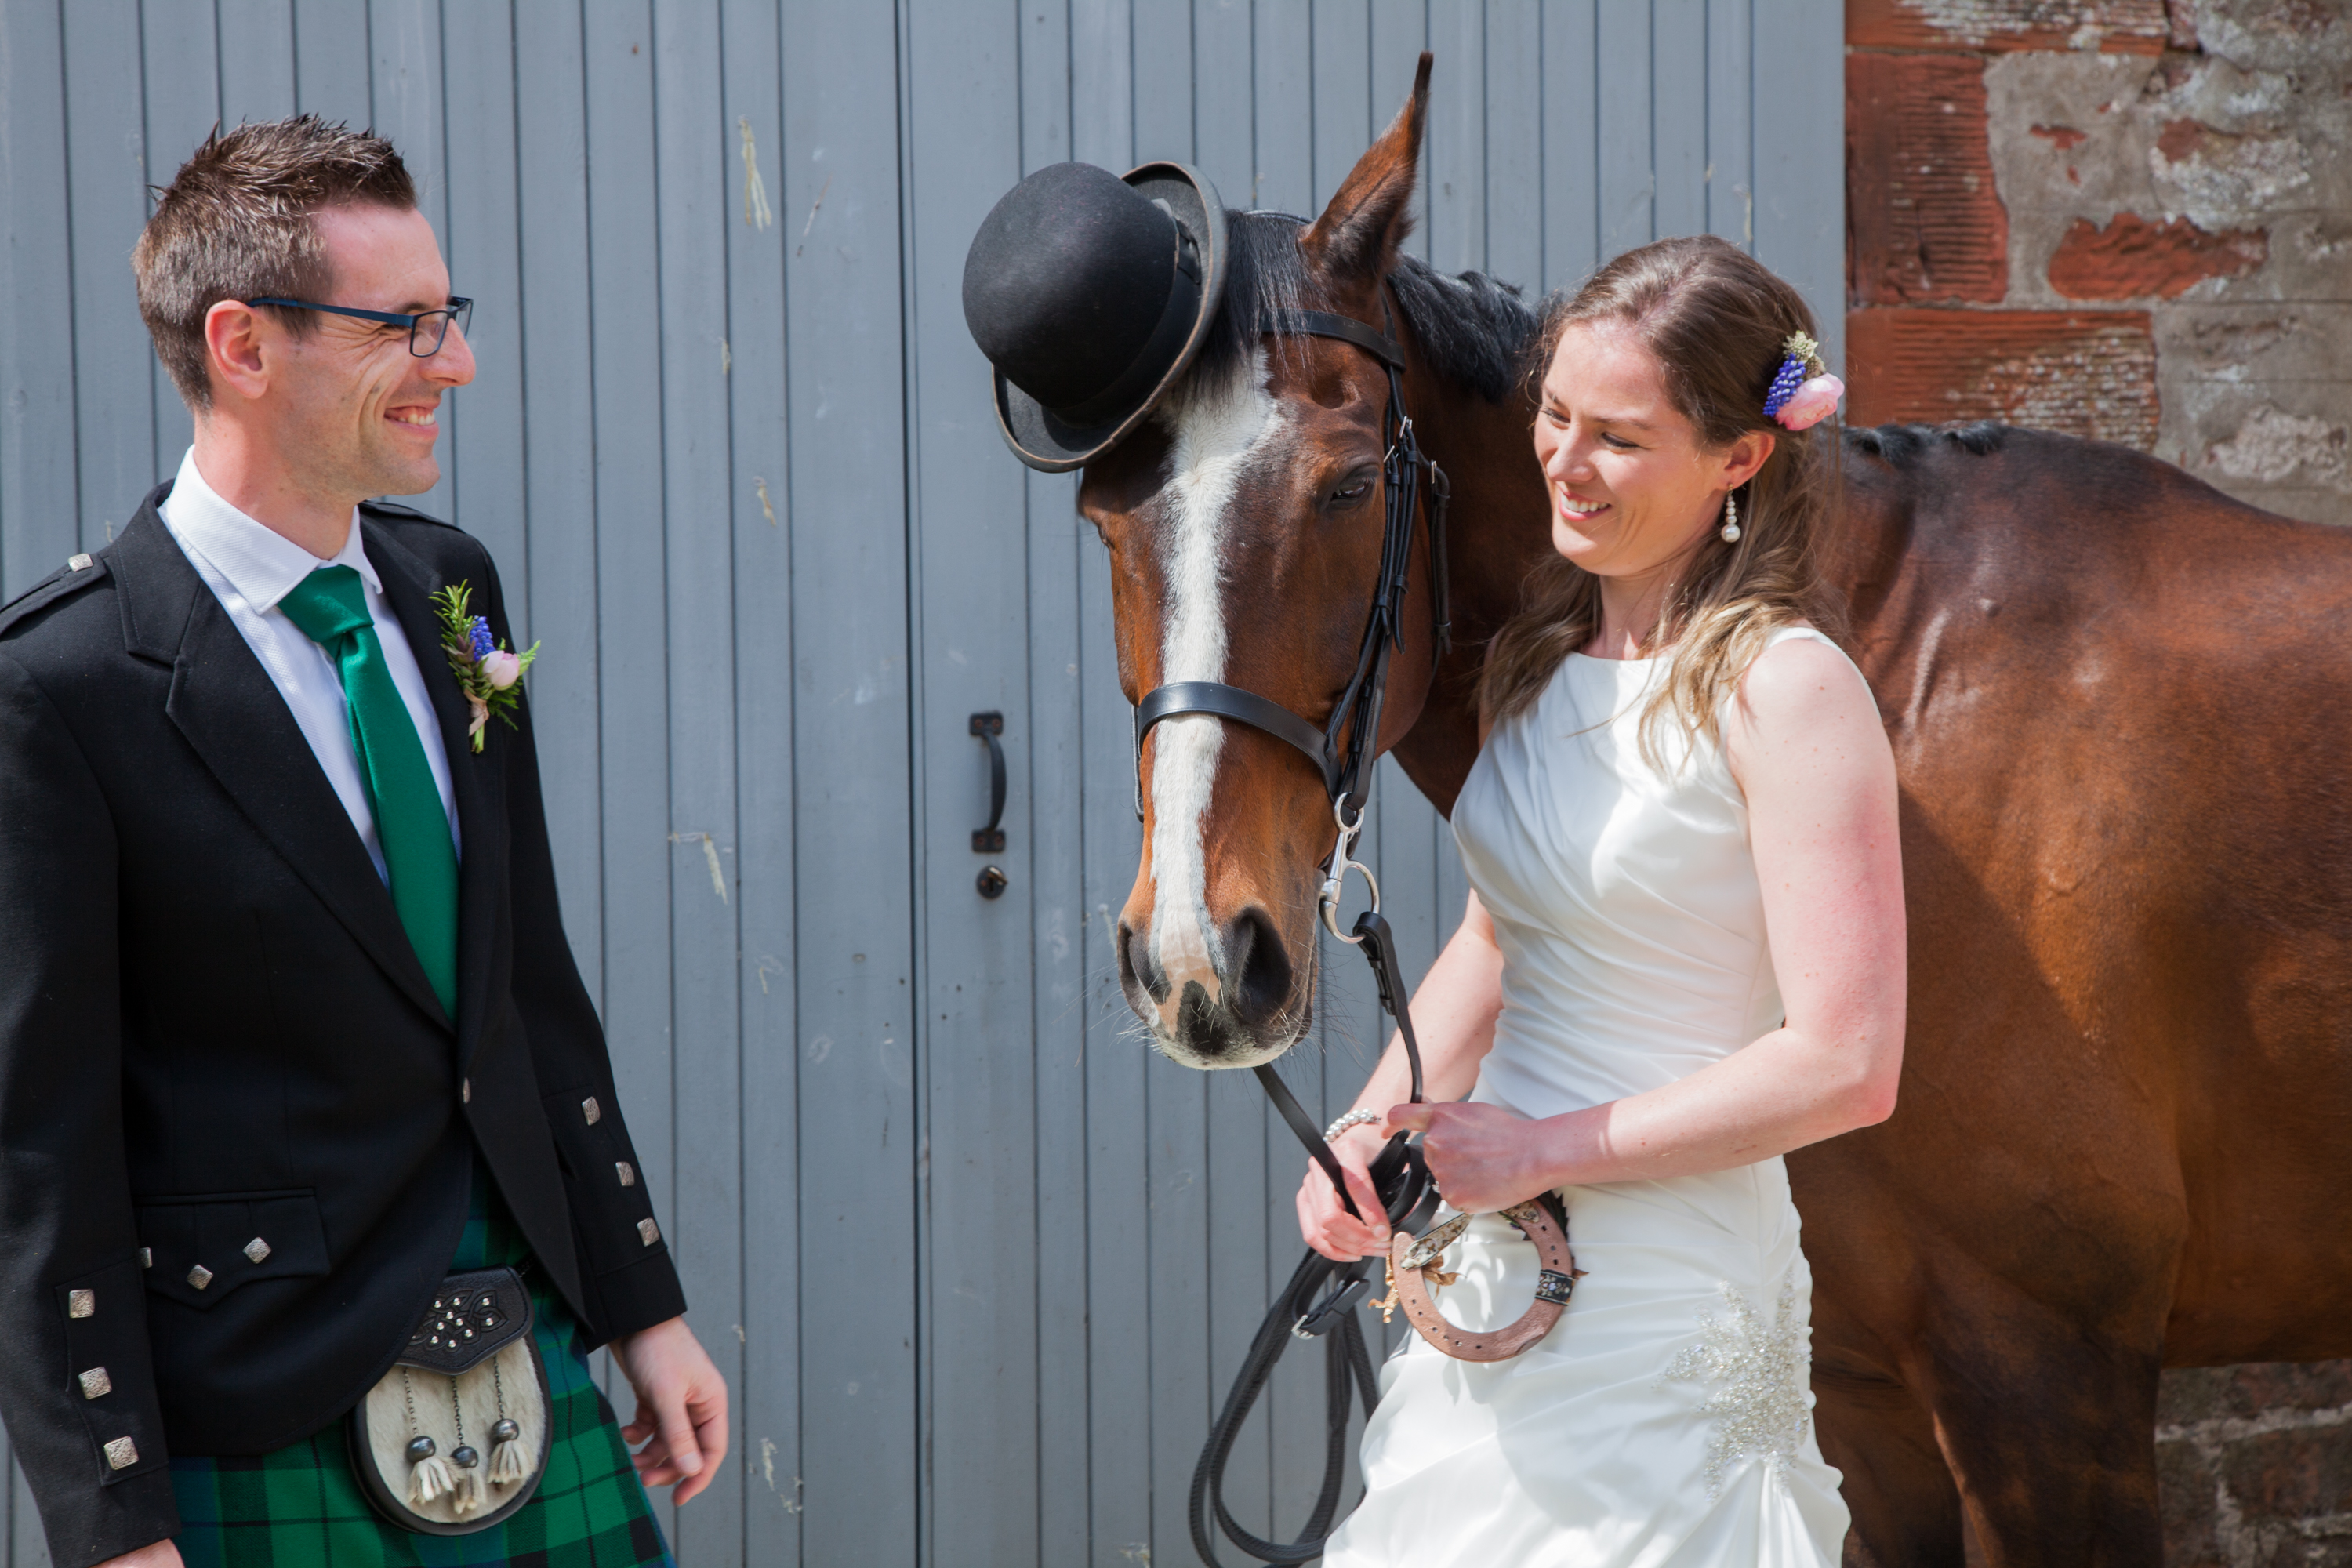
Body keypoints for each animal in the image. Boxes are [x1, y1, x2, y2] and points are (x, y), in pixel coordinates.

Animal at [1082, 56, 2352, 1566]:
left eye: (1346, 482)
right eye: (1105, 517)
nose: (1200, 964)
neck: (1896, 701)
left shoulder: (2049, 1379)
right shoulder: (1864, 1397)